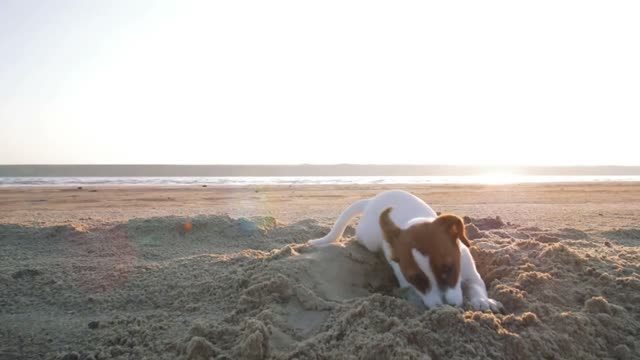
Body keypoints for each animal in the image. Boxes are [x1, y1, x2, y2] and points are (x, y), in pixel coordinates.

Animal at [308, 188, 502, 312]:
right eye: (415, 278)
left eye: (448, 268)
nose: (446, 307)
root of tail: (371, 201)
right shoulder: (407, 284)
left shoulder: (471, 273)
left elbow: (476, 286)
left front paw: (483, 301)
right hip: (369, 239)